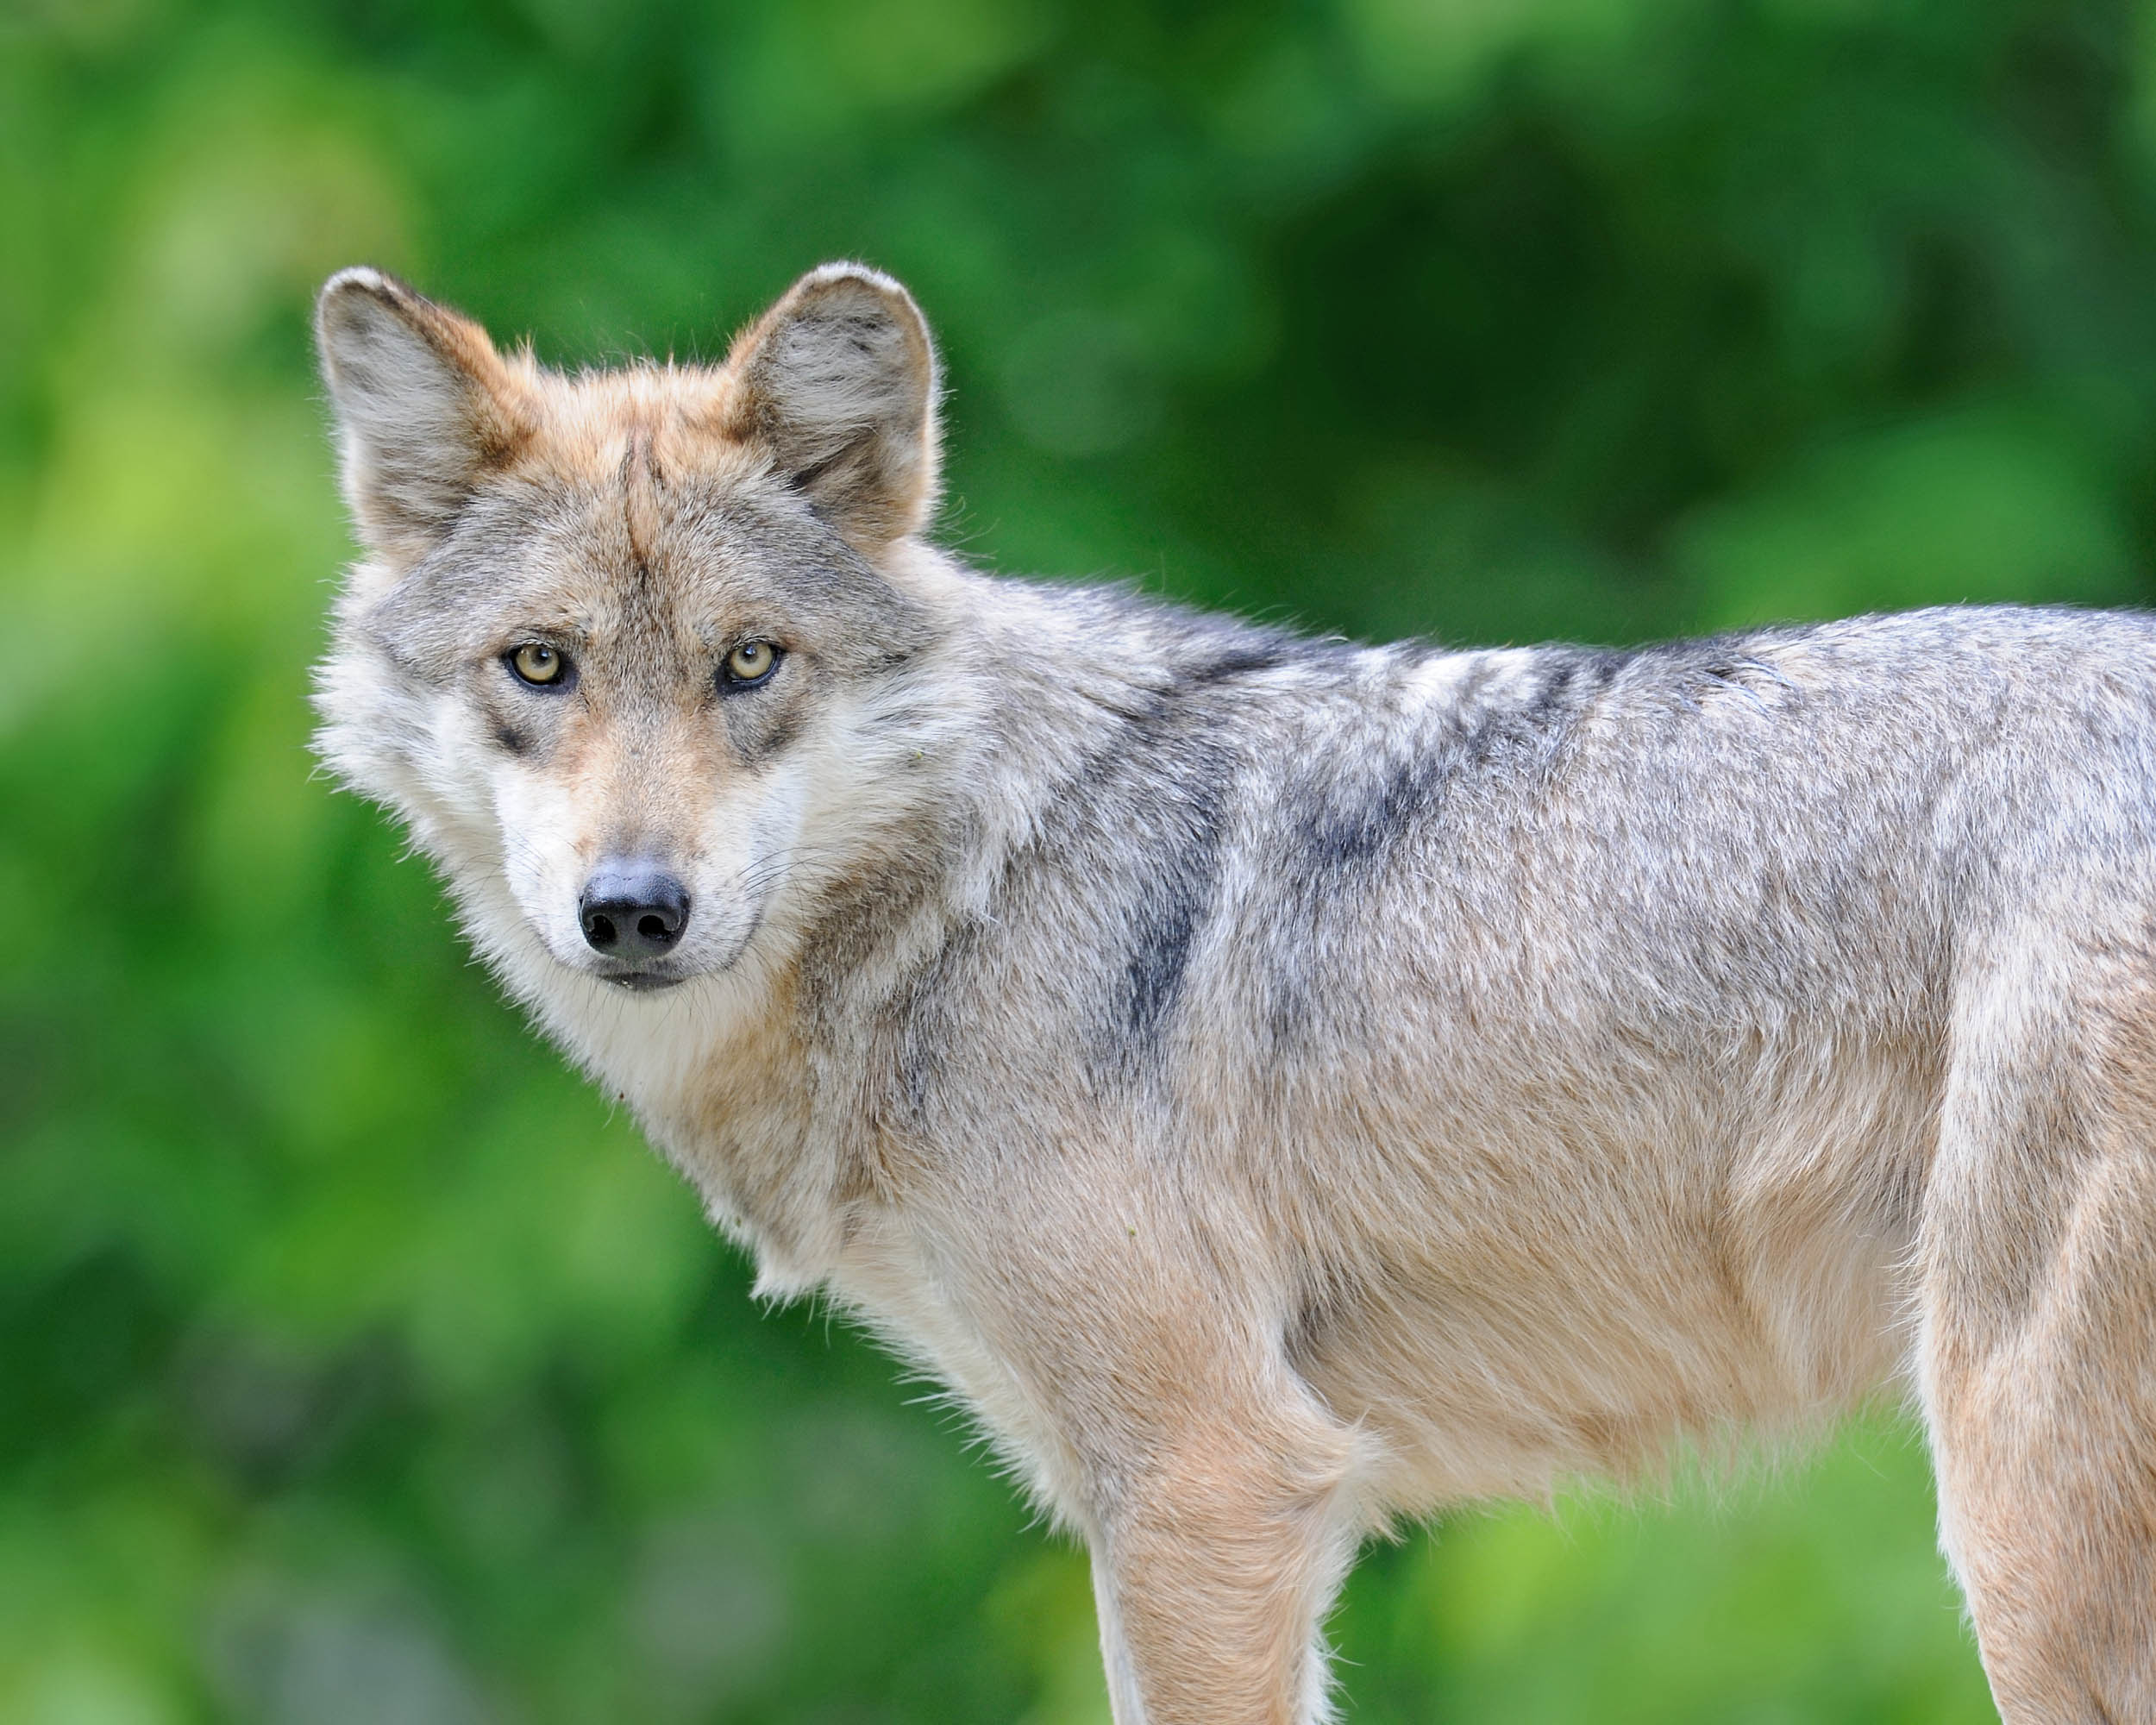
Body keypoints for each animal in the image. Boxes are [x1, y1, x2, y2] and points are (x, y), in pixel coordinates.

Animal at [312, 260, 2156, 1723]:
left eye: (749, 663)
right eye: (540, 666)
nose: (633, 911)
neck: (971, 890)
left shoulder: (1211, 1485)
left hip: (2021, 1529)